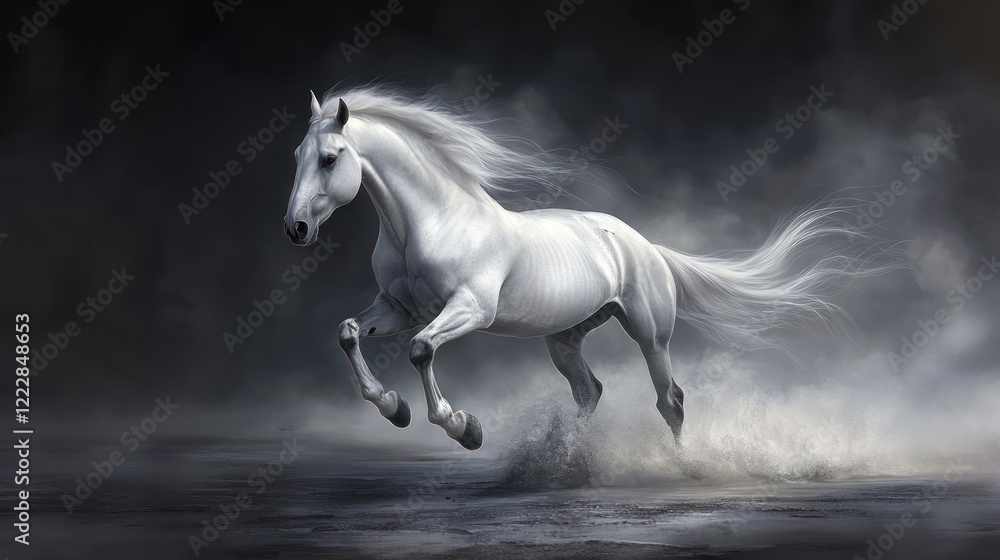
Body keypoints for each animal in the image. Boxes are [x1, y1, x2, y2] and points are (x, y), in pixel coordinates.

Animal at [283, 86, 891, 451]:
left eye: (330, 159)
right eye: (294, 156)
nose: (296, 230)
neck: (428, 222)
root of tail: (647, 245)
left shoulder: (470, 309)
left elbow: (420, 350)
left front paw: (465, 428)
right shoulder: (398, 307)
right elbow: (349, 332)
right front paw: (394, 409)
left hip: (650, 335)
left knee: (669, 400)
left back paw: (679, 467)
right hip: (565, 338)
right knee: (590, 392)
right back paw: (568, 461)